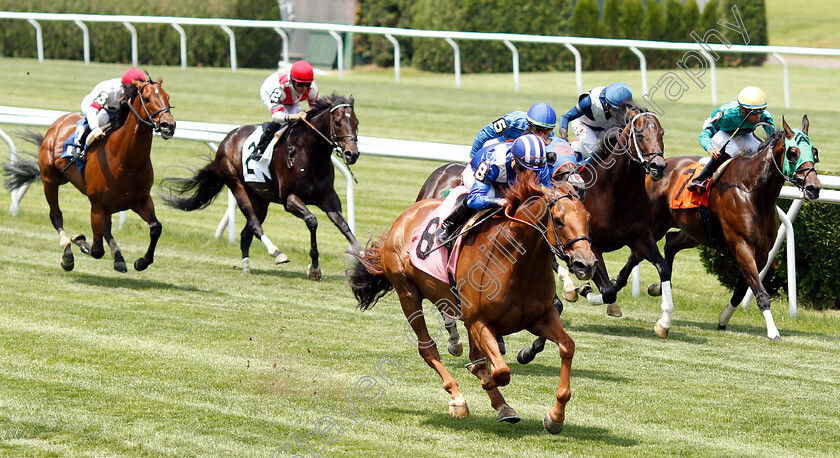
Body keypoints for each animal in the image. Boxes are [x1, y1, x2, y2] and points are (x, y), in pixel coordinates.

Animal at [4, 73, 176, 270]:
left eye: (168, 97)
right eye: (147, 99)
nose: (169, 125)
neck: (124, 159)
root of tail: (58, 123)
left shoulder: (140, 200)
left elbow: (156, 227)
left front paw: (142, 261)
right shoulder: (97, 204)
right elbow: (96, 250)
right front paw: (78, 240)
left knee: (106, 228)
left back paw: (118, 257)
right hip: (50, 179)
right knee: (56, 215)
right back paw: (67, 252)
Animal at [159, 93, 360, 280]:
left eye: (356, 122)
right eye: (338, 122)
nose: (352, 154)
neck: (309, 153)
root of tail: (227, 139)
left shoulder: (328, 197)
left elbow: (343, 225)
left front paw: (361, 254)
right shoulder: (289, 199)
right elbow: (312, 221)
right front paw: (315, 267)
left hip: (260, 199)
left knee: (245, 233)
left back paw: (246, 267)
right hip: (237, 185)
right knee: (255, 225)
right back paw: (277, 253)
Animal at [348, 175, 596, 432]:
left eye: (588, 219)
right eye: (558, 220)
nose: (586, 264)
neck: (516, 261)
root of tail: (404, 216)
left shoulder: (541, 317)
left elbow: (567, 346)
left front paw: (555, 416)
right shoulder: (479, 321)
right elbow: (500, 371)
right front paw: (486, 383)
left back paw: (502, 406)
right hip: (407, 292)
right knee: (427, 348)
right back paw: (458, 399)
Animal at [612, 116, 820, 342]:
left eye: (814, 151)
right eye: (793, 153)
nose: (814, 188)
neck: (753, 192)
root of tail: (655, 169)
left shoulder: (762, 254)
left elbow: (741, 291)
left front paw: (723, 319)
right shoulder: (742, 247)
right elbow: (761, 293)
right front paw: (773, 332)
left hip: (695, 231)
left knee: (670, 243)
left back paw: (656, 288)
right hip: (655, 224)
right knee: (638, 253)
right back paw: (617, 285)